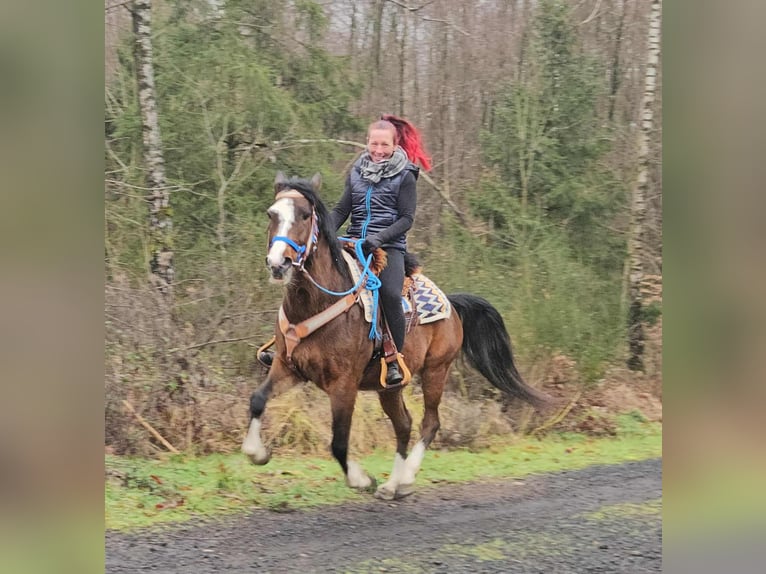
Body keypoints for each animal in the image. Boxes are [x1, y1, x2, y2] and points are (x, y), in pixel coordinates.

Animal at [242, 172, 551, 500]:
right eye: (271, 214)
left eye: (304, 215)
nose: (279, 263)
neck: (316, 303)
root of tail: (452, 305)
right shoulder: (288, 368)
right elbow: (258, 399)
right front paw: (257, 453)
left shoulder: (344, 384)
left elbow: (338, 441)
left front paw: (361, 480)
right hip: (389, 388)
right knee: (404, 424)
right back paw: (393, 484)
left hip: (436, 371)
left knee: (430, 423)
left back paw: (405, 477)